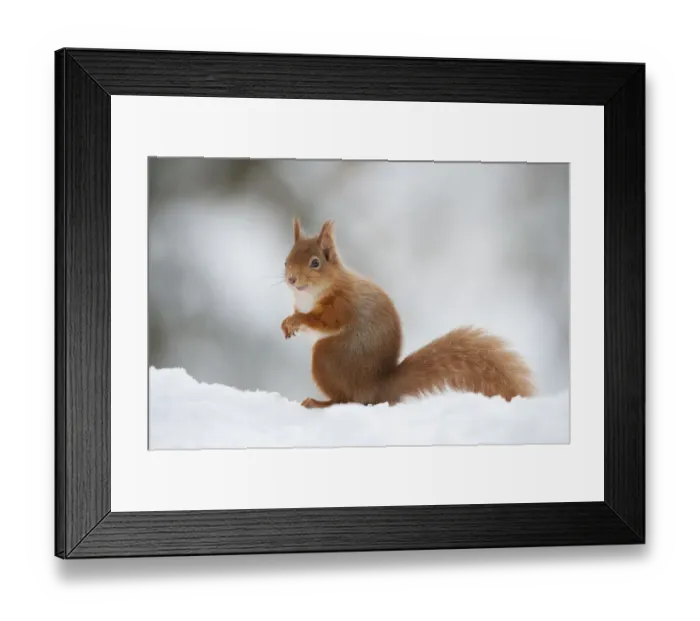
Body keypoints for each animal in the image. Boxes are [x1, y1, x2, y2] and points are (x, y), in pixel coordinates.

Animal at [281, 218, 535, 409]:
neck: (311, 293)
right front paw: (288, 323)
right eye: (286, 260)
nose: (291, 279)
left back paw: (319, 403)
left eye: (315, 263)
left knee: (346, 400)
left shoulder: (343, 304)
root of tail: (376, 389)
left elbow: (326, 321)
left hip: (327, 357)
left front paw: (299, 319)